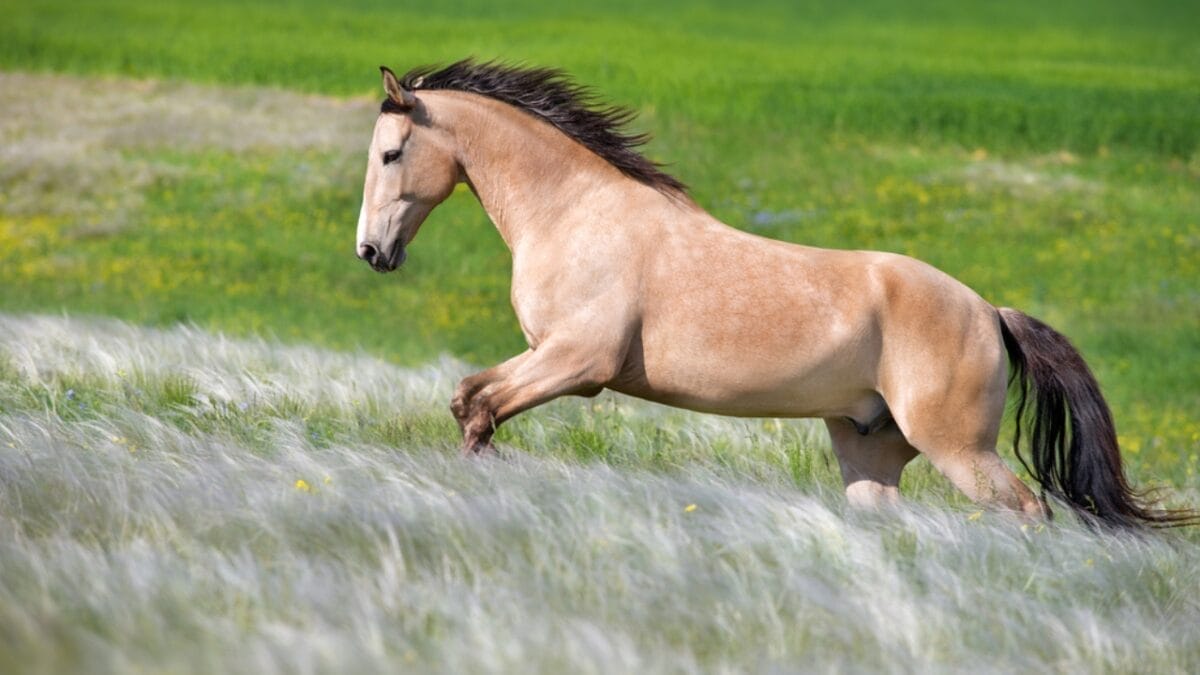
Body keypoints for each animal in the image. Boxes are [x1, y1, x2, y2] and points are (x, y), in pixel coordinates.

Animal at [354, 59, 1193, 529]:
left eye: (392, 154)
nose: (372, 252)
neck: (575, 212)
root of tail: (990, 311)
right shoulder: (544, 356)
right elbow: (471, 401)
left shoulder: (576, 363)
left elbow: (477, 407)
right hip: (870, 449)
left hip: (959, 449)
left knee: (1028, 510)